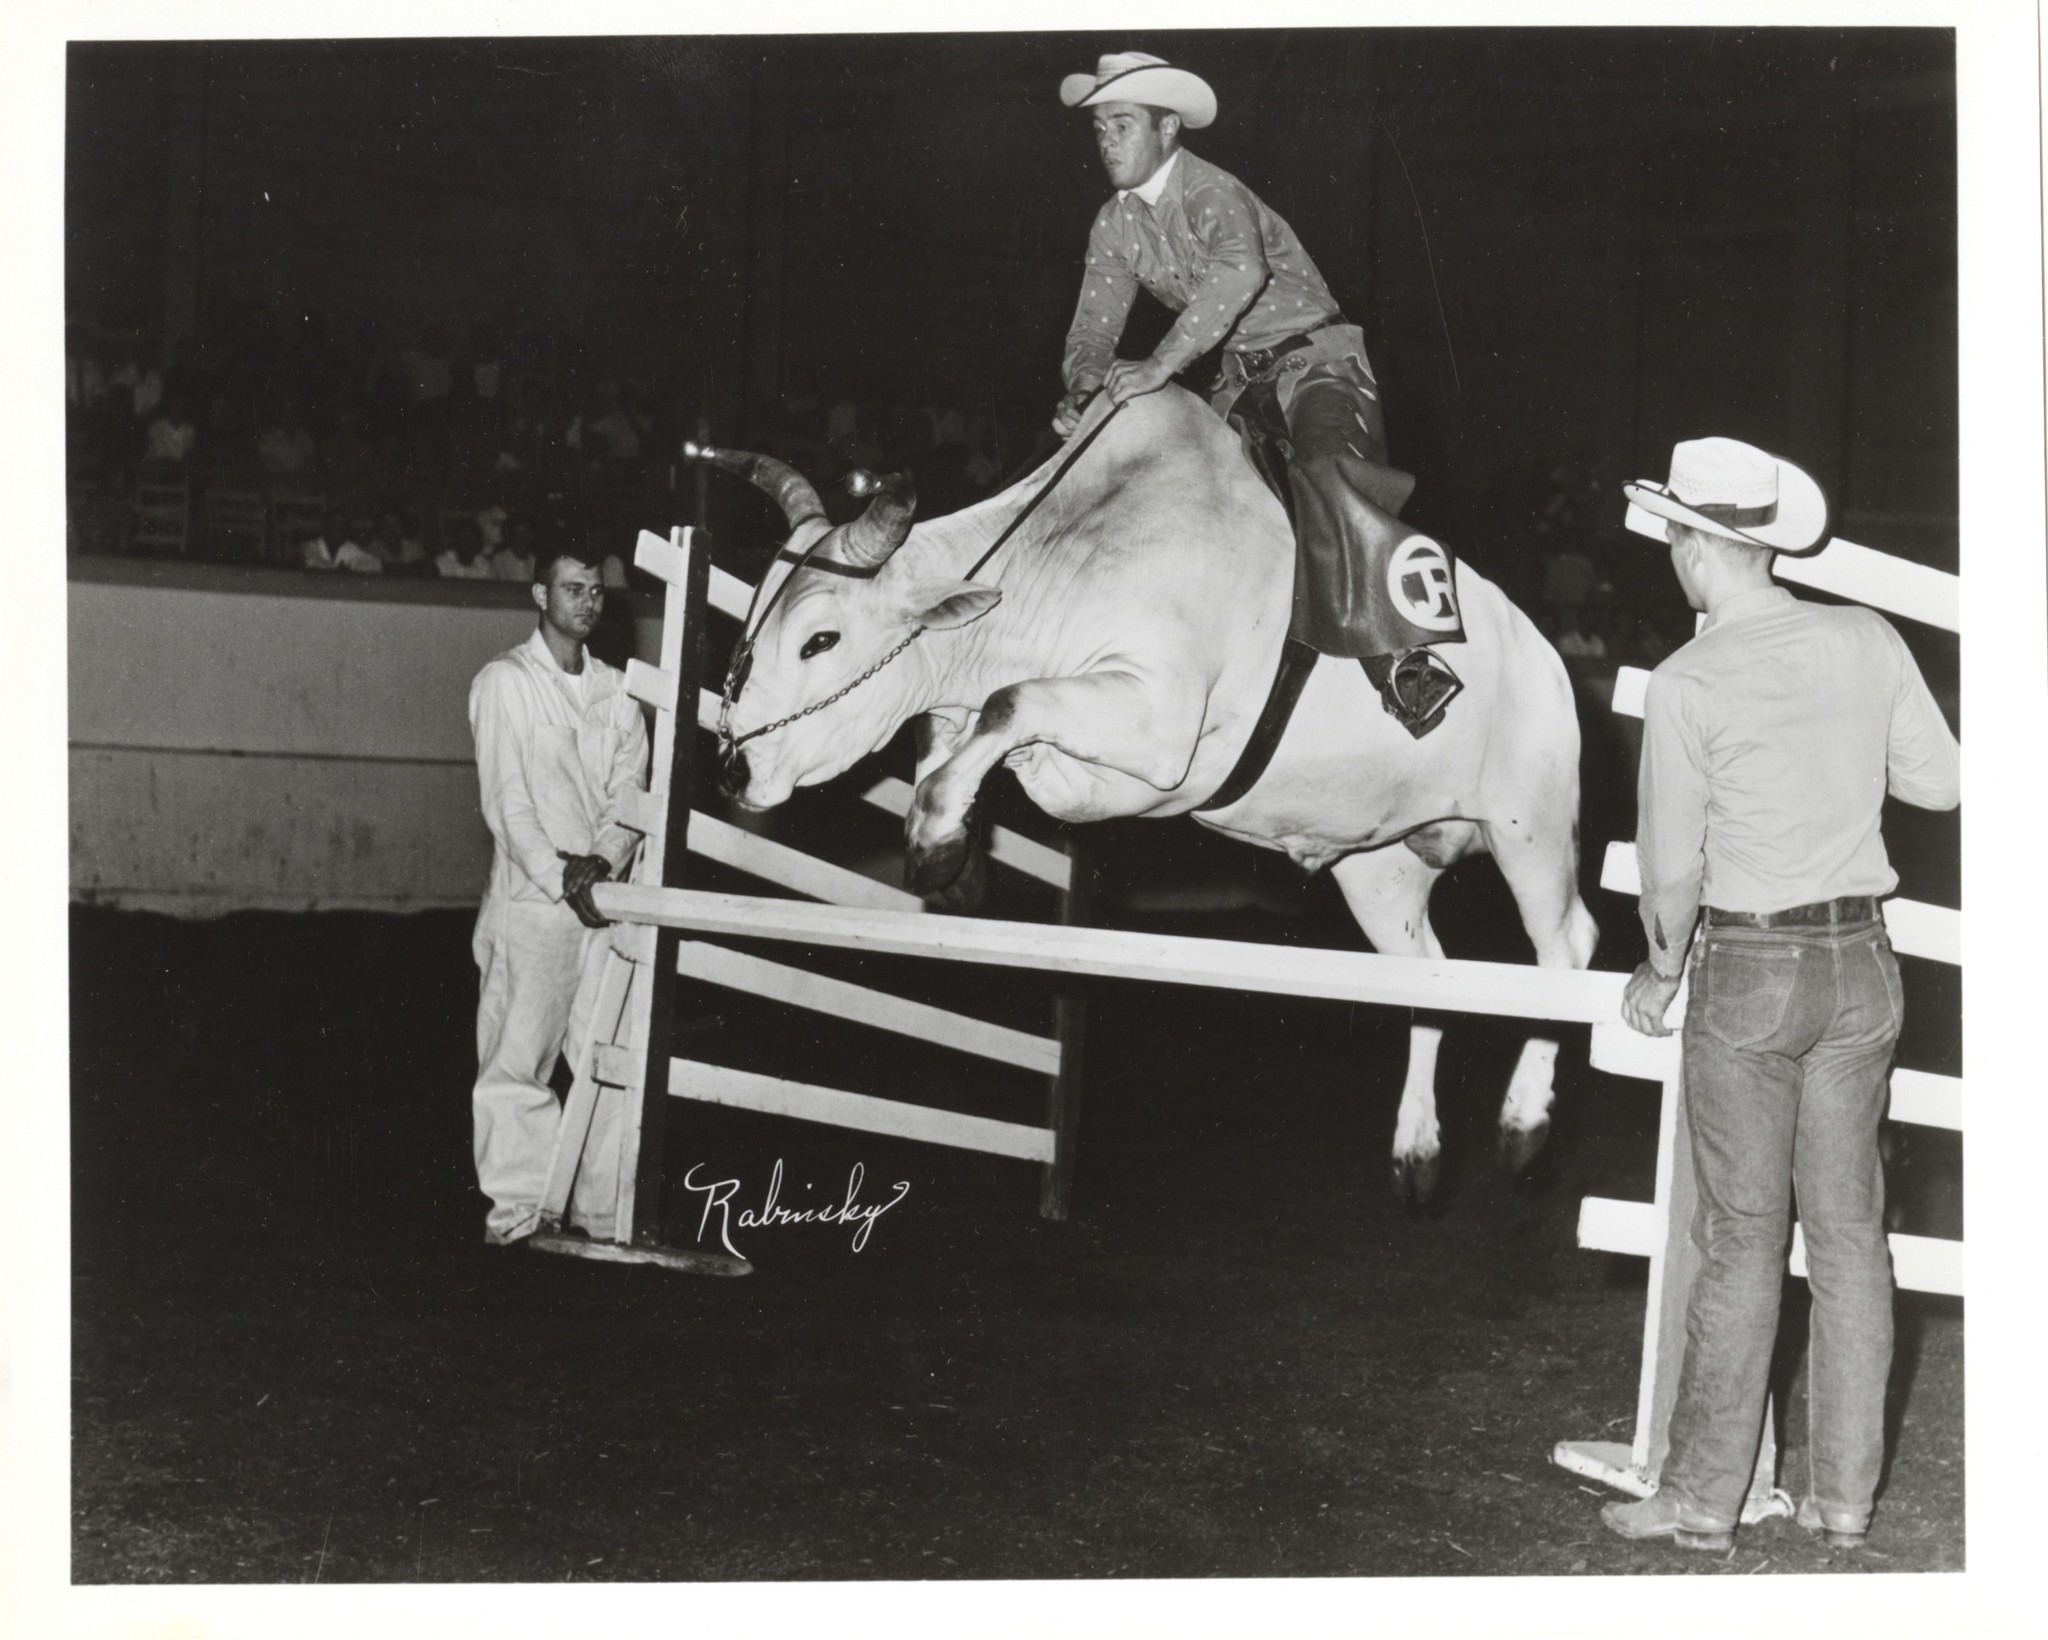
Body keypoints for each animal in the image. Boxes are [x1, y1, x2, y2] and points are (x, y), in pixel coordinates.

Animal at [704, 389, 1597, 1195]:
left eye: (821, 638)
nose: (734, 767)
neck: (1072, 558)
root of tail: (1544, 653)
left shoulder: (1158, 723)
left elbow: (1012, 704)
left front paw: (933, 843)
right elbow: (967, 735)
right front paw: (953, 847)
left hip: (1529, 826)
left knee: (1566, 948)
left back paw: (1524, 1122)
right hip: (1377, 871)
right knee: (1430, 979)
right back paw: (1416, 1151)